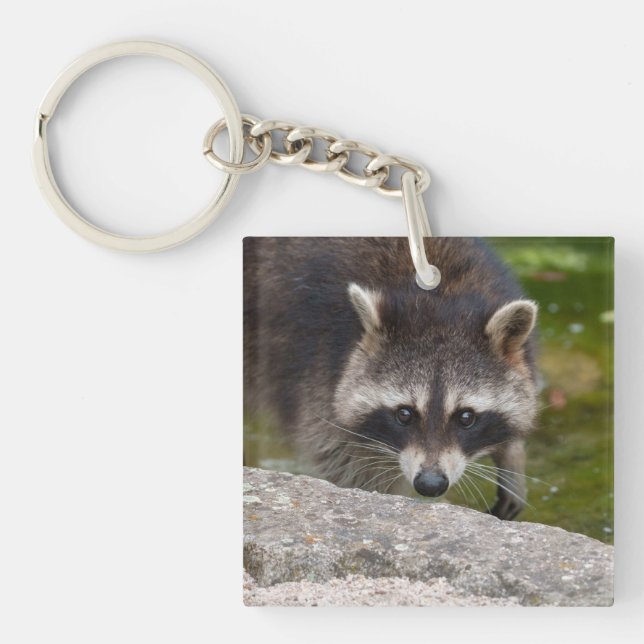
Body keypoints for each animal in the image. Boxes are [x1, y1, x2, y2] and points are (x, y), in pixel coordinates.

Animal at [244, 237, 538, 520]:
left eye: (466, 417)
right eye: (404, 414)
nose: (430, 484)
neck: (440, 297)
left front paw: (512, 453)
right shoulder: (316, 372)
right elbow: (350, 467)